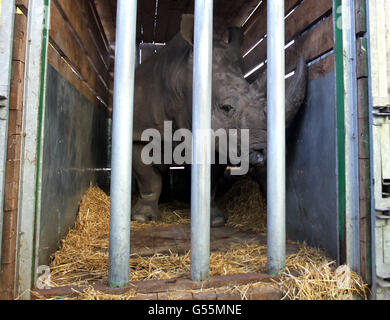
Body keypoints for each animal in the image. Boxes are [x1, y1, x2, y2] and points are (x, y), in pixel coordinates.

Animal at [131, 13, 308, 226]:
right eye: (226, 107)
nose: (264, 153)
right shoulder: (139, 132)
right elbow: (149, 178)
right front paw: (142, 218)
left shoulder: (221, 137)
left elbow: (210, 179)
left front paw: (214, 220)